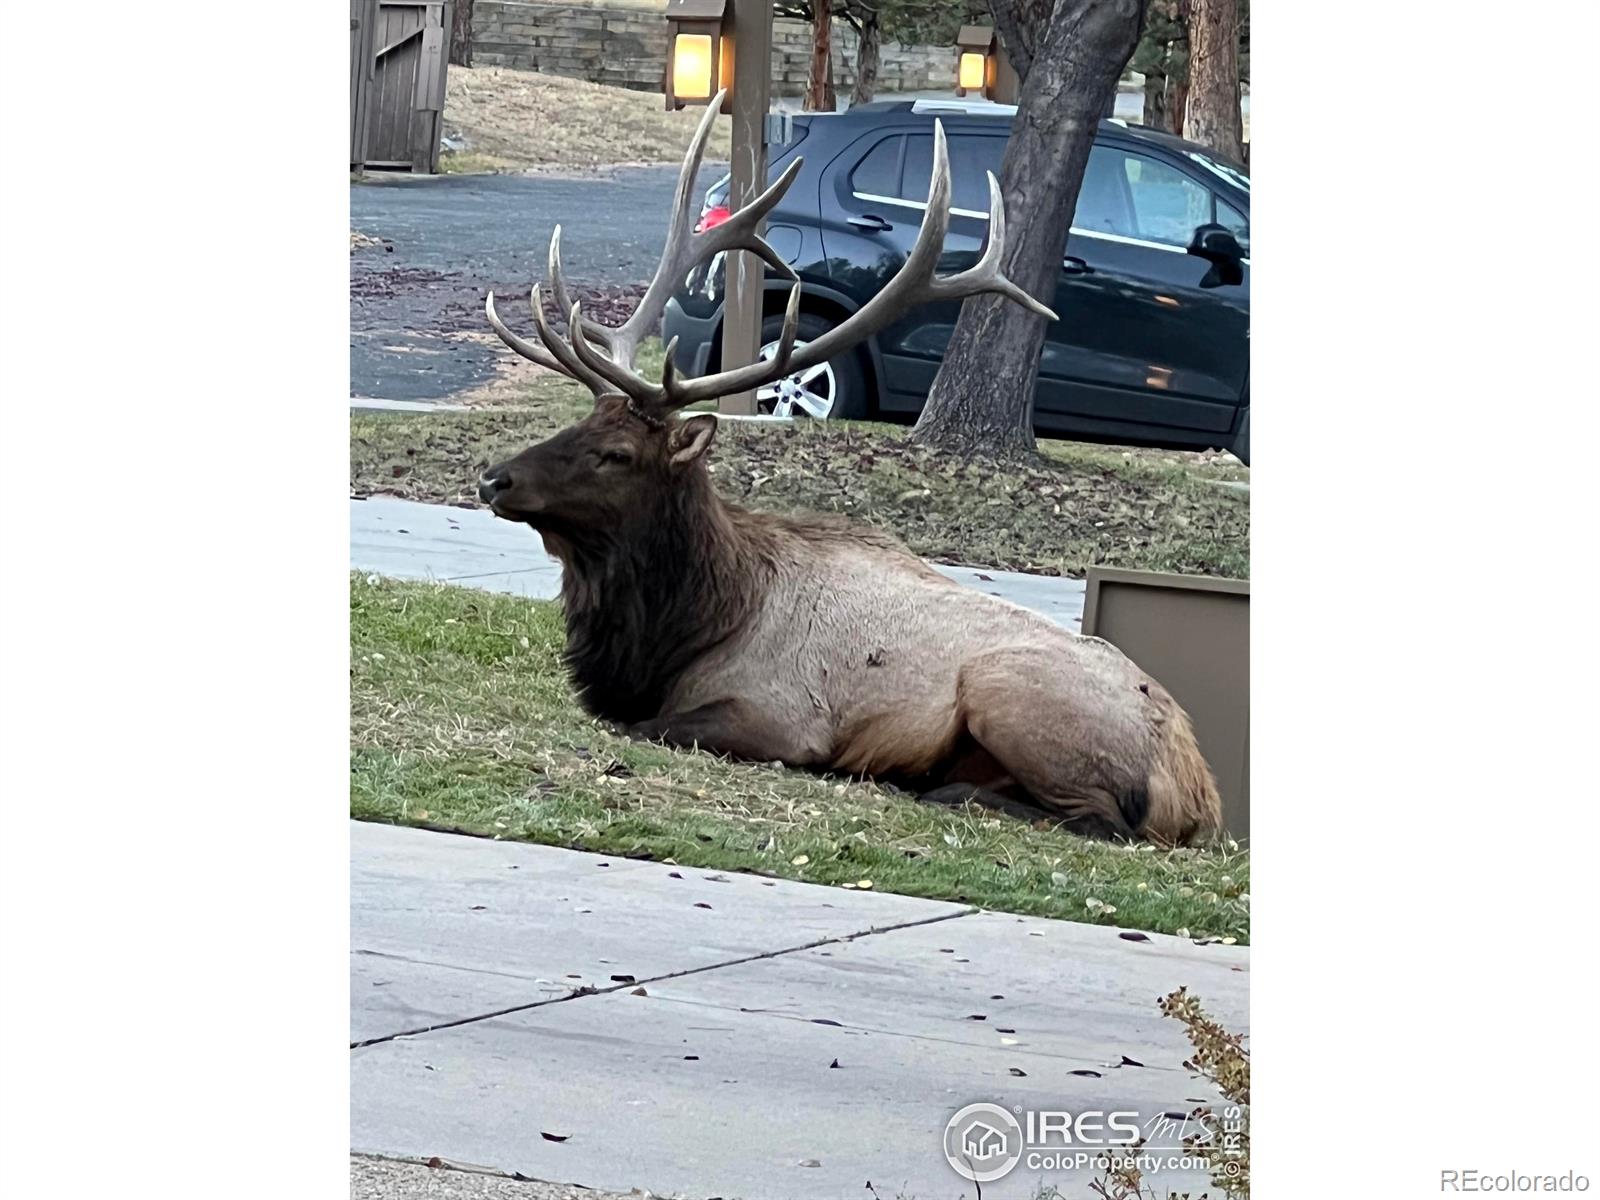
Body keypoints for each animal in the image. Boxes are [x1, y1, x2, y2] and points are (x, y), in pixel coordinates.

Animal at [473, 96, 1222, 844]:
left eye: (618, 455)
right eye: (578, 424)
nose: (493, 478)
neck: (691, 626)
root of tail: (1198, 796)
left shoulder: (780, 716)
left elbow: (644, 729)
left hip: (1005, 690)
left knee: (1103, 821)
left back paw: (944, 790)